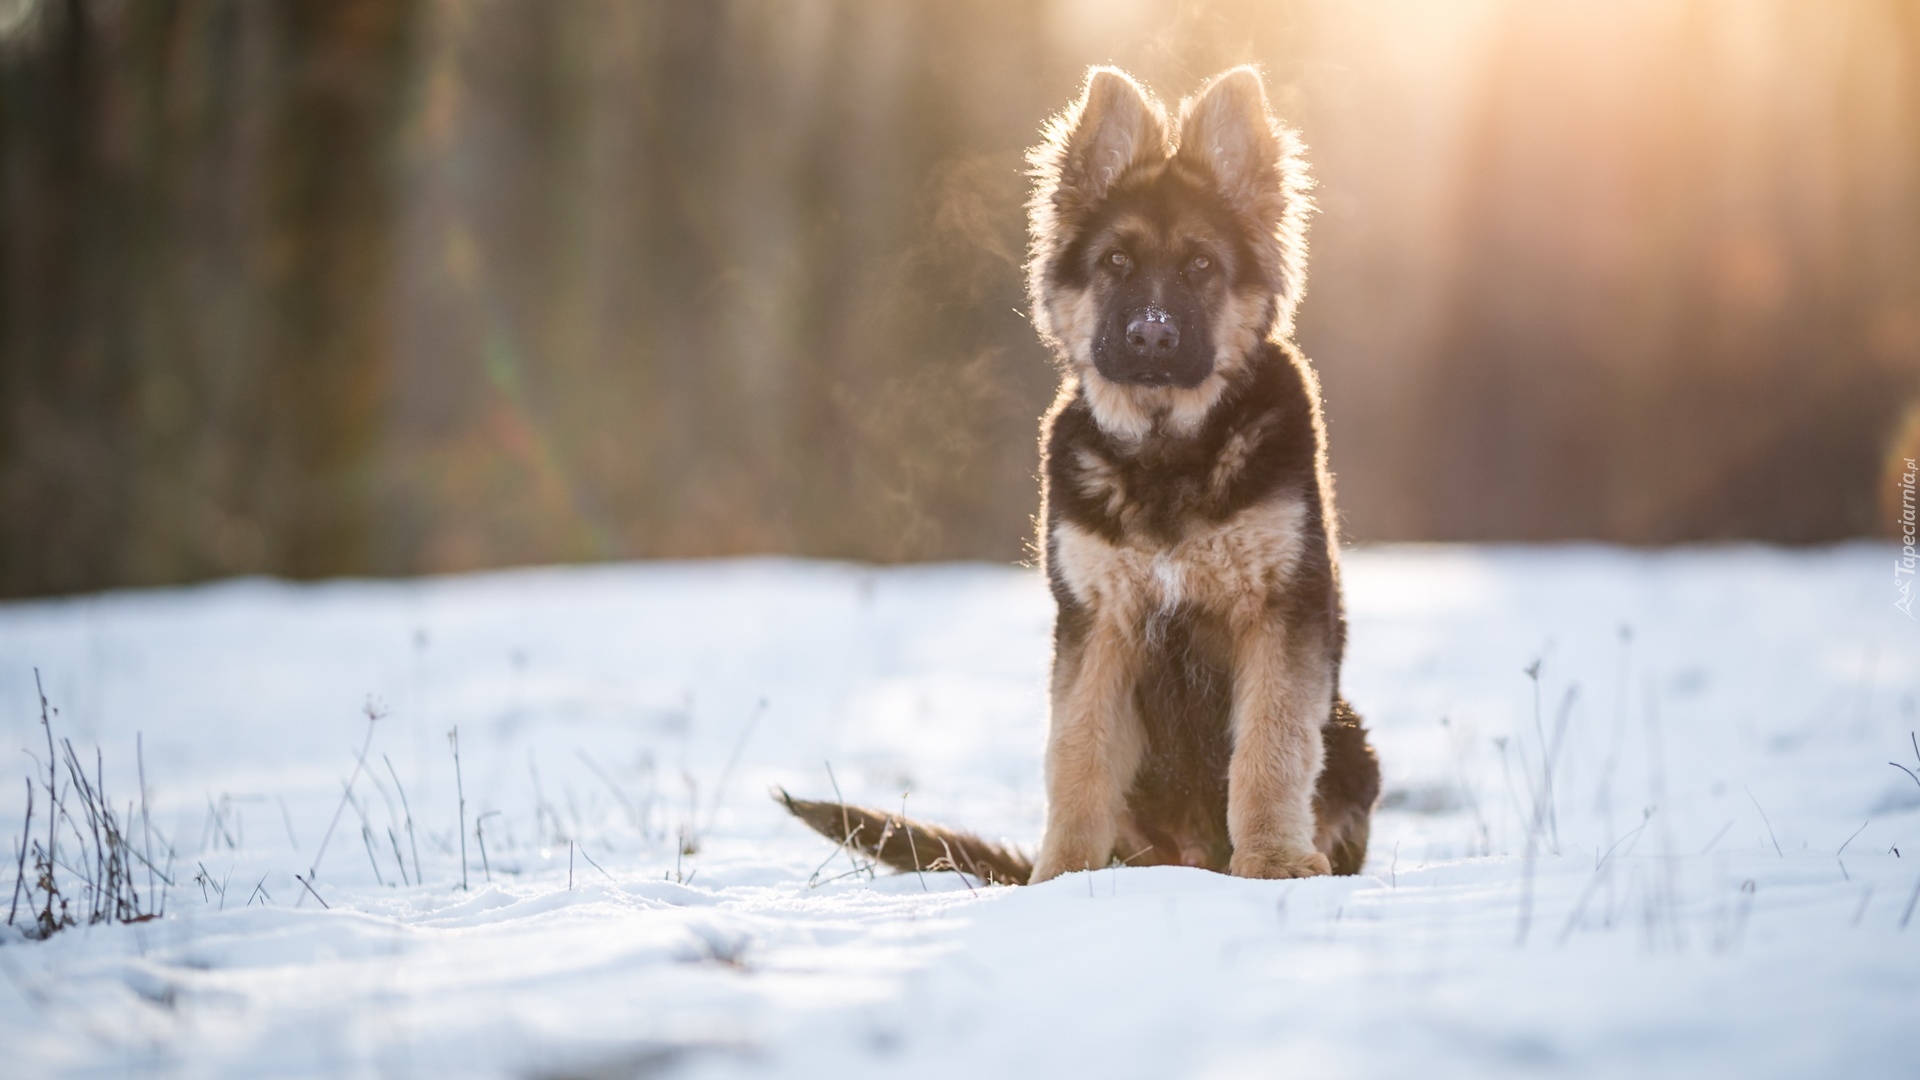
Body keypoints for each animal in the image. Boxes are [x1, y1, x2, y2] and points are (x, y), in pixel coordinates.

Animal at [779, 62, 1382, 880]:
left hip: (1352, 738)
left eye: (1200, 266)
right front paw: (1059, 879)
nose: (1151, 336)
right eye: (1115, 264)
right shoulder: (1097, 623)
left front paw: (1273, 861)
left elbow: (1271, 746)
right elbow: (1079, 755)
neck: (1165, 454)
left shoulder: (1279, 612)